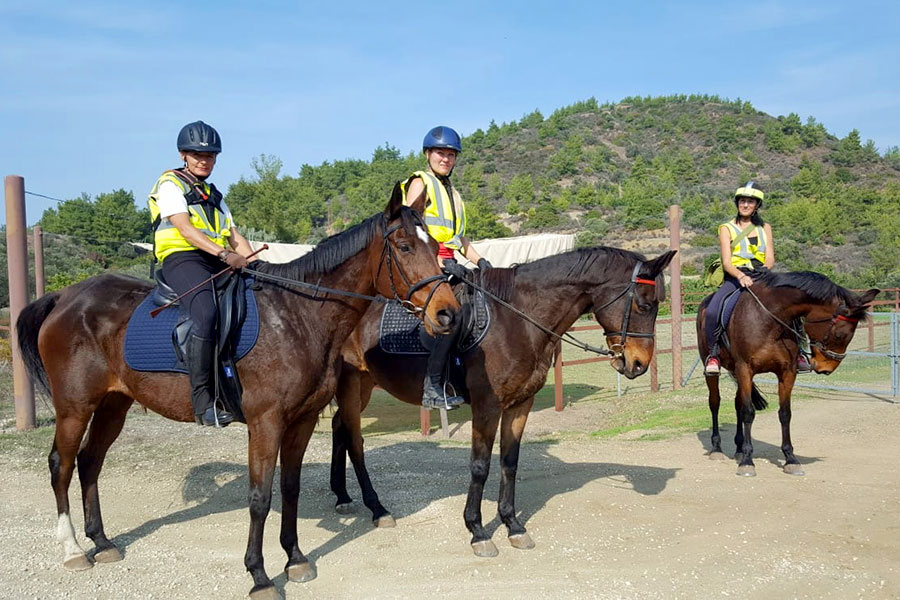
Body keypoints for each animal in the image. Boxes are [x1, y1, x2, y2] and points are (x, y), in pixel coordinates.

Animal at [15, 190, 460, 599]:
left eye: (432, 245)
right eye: (405, 247)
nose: (448, 313)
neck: (296, 317)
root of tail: (66, 296)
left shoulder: (301, 420)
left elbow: (290, 488)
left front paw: (295, 559)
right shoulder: (265, 424)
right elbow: (260, 497)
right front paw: (259, 576)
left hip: (114, 404)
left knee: (90, 462)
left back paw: (102, 542)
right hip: (75, 407)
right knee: (61, 465)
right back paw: (74, 549)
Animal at [332, 247, 676, 556]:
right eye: (644, 305)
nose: (638, 364)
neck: (516, 319)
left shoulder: (520, 404)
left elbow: (509, 462)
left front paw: (513, 525)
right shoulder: (487, 406)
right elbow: (480, 466)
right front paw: (477, 531)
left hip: (362, 385)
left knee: (339, 428)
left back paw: (342, 496)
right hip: (350, 383)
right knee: (355, 441)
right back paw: (376, 507)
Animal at [696, 270, 879, 477]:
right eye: (840, 335)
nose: (827, 368)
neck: (770, 320)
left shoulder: (787, 372)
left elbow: (784, 413)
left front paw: (790, 458)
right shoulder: (744, 369)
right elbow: (748, 412)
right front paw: (747, 461)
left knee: (737, 404)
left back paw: (738, 448)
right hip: (716, 369)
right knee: (715, 402)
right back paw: (717, 448)